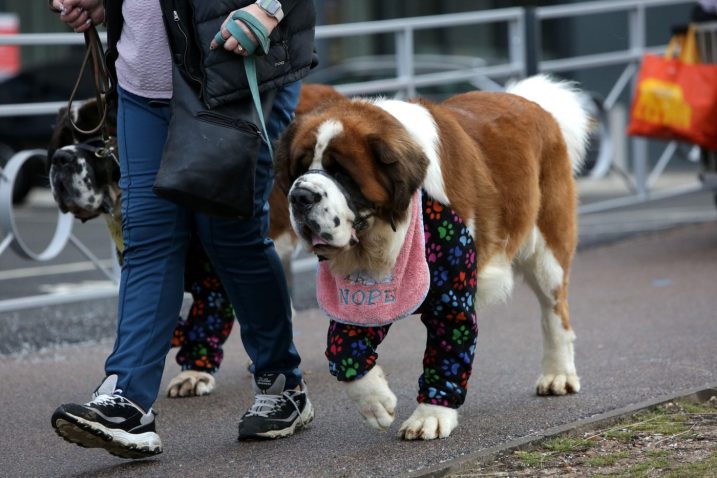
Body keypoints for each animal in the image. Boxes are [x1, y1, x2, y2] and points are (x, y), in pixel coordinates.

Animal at [274, 75, 588, 440]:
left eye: (342, 174)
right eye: (298, 167)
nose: (300, 196)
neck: (384, 231)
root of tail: (530, 103)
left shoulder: (451, 295)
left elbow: (445, 356)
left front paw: (431, 416)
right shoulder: (361, 296)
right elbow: (343, 349)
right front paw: (376, 401)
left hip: (546, 250)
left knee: (554, 313)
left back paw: (558, 374)